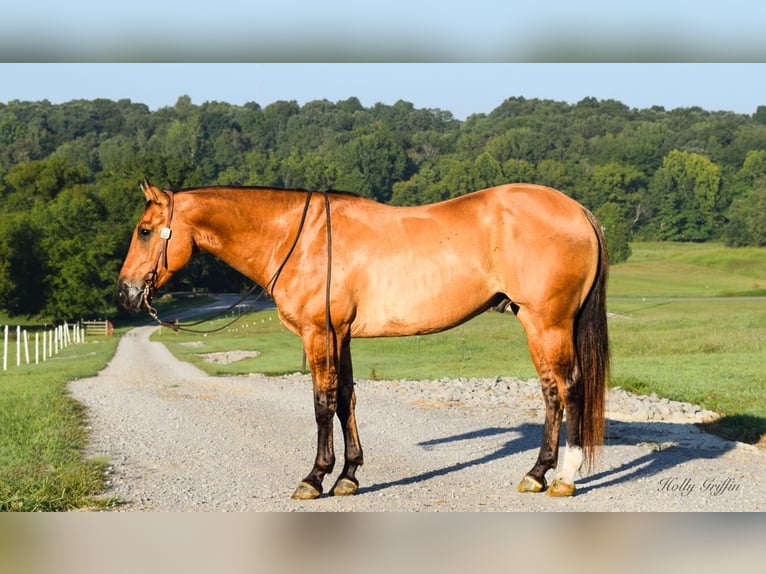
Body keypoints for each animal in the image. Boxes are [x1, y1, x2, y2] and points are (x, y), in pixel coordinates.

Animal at [118, 180, 612, 500]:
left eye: (144, 231)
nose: (125, 293)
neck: (299, 238)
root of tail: (578, 211)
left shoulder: (319, 334)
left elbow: (321, 404)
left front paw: (315, 478)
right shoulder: (341, 336)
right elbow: (345, 401)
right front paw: (349, 476)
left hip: (547, 322)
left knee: (568, 390)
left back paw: (562, 477)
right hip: (536, 323)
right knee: (552, 394)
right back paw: (537, 473)